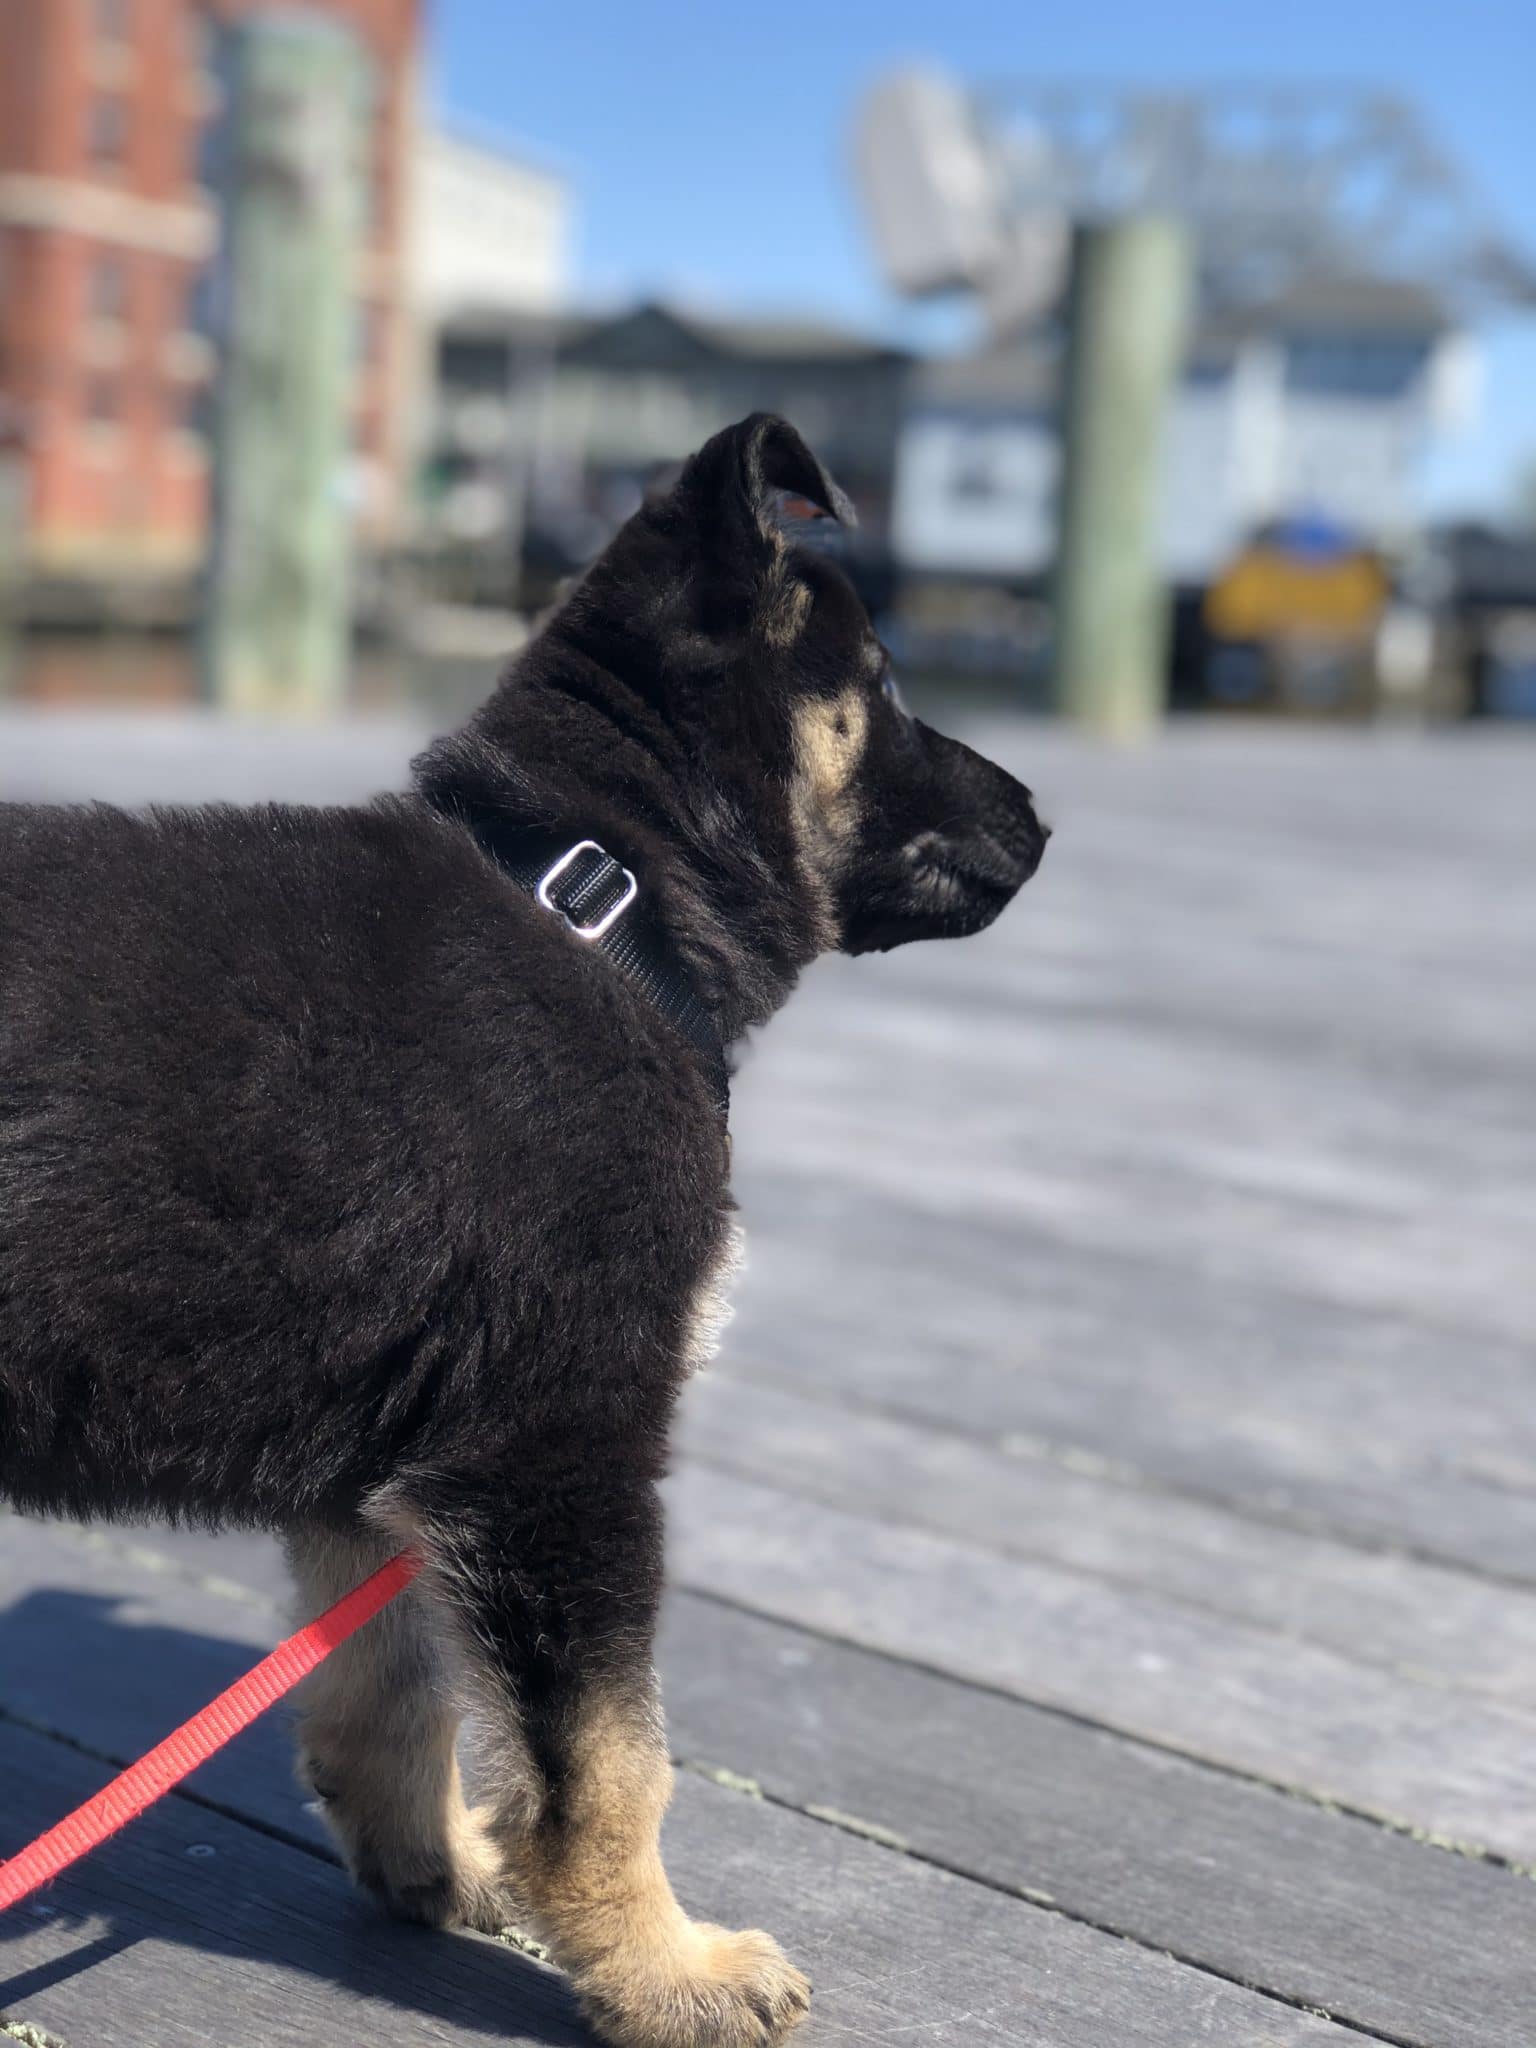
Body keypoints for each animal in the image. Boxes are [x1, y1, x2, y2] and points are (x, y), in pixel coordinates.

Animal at [0, 415, 1048, 2048]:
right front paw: (666, 1970)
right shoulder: (563, 1442)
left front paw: (436, 1862)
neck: (603, 904)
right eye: (881, 688)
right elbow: (614, 1758)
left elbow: (396, 1683)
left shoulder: (394, 1454)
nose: (1043, 818)